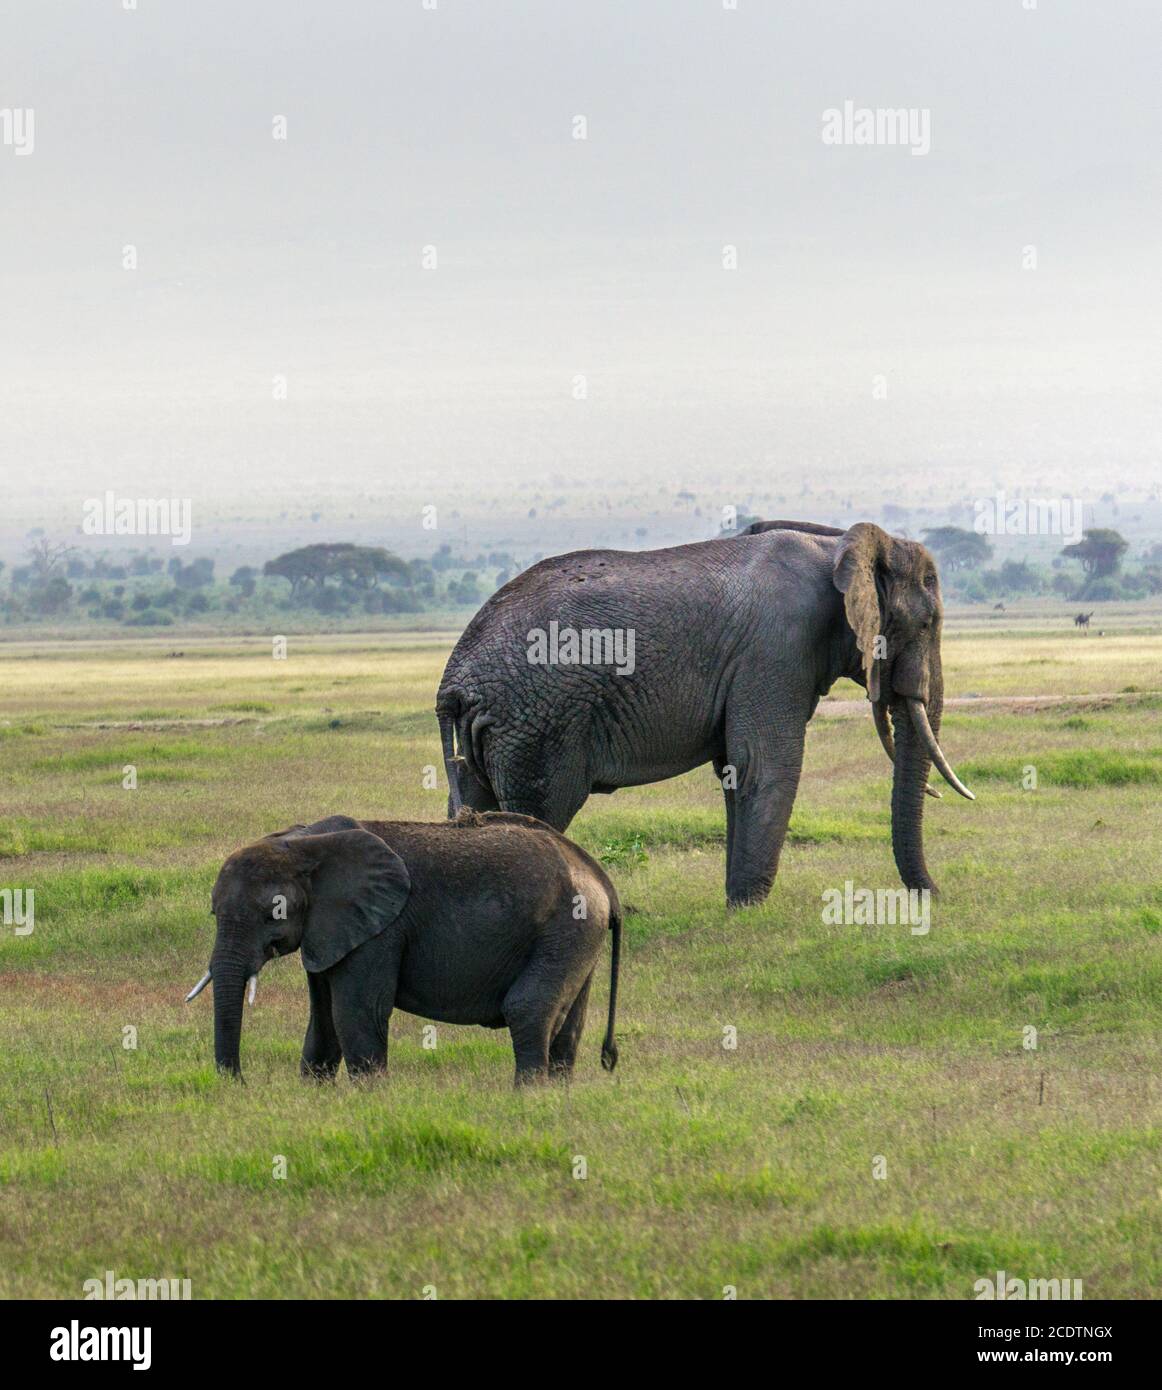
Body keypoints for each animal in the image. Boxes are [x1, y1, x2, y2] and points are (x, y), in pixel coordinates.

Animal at [185, 812, 622, 1085]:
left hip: (567, 926)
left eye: (272, 913)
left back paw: (527, 1099)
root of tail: (598, 874)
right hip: (576, 934)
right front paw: (314, 1100)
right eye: (213, 912)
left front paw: (371, 1101)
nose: (240, 1083)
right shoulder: (329, 930)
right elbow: (324, 1021)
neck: (302, 841)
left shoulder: (380, 931)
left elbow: (356, 1013)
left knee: (528, 1008)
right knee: (568, 1026)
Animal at [436, 519, 973, 908]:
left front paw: (736, 906)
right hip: (537, 722)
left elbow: (735, 769)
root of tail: (454, 681)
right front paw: (751, 910)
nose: (938, 896)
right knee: (540, 812)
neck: (838, 544)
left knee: (476, 805)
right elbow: (765, 764)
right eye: (928, 623)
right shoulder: (776, 651)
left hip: (499, 727)